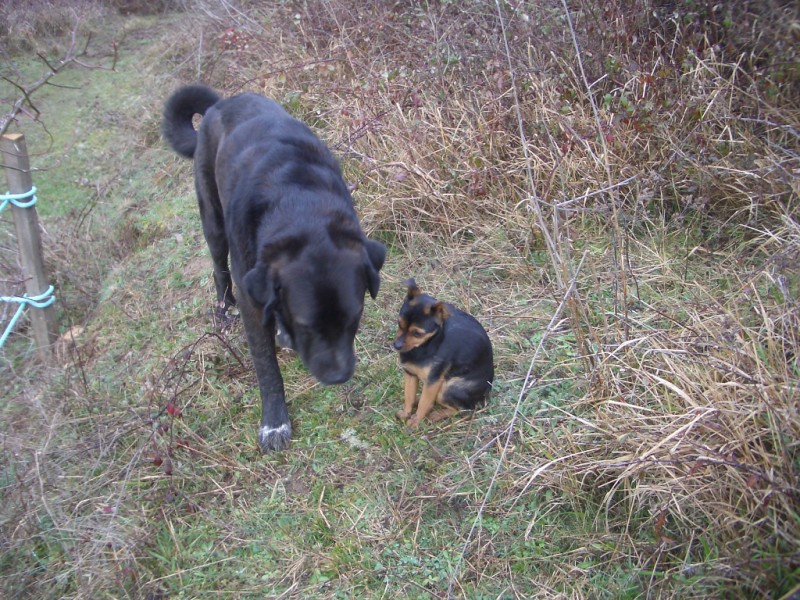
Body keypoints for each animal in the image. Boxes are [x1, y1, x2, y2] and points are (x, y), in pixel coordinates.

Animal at [394, 280, 494, 426]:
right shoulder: (410, 374)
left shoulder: (433, 381)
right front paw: (406, 414)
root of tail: (485, 396)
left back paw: (436, 414)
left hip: (447, 388)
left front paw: (416, 422)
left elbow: (424, 404)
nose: (396, 345)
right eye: (399, 323)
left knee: (463, 410)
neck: (426, 345)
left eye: (417, 334)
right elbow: (409, 396)